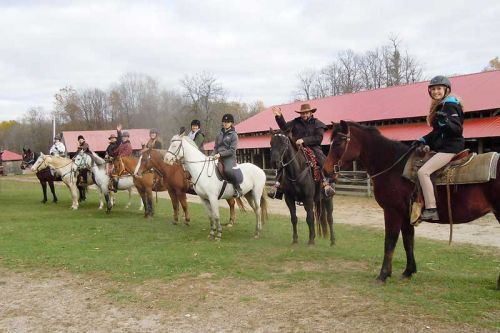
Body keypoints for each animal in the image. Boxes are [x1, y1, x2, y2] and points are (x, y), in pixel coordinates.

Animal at [324, 120, 500, 288]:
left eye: (338, 143)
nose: (325, 171)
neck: (393, 167)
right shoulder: (405, 214)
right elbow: (408, 241)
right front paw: (408, 271)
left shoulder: (392, 211)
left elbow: (390, 241)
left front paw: (383, 275)